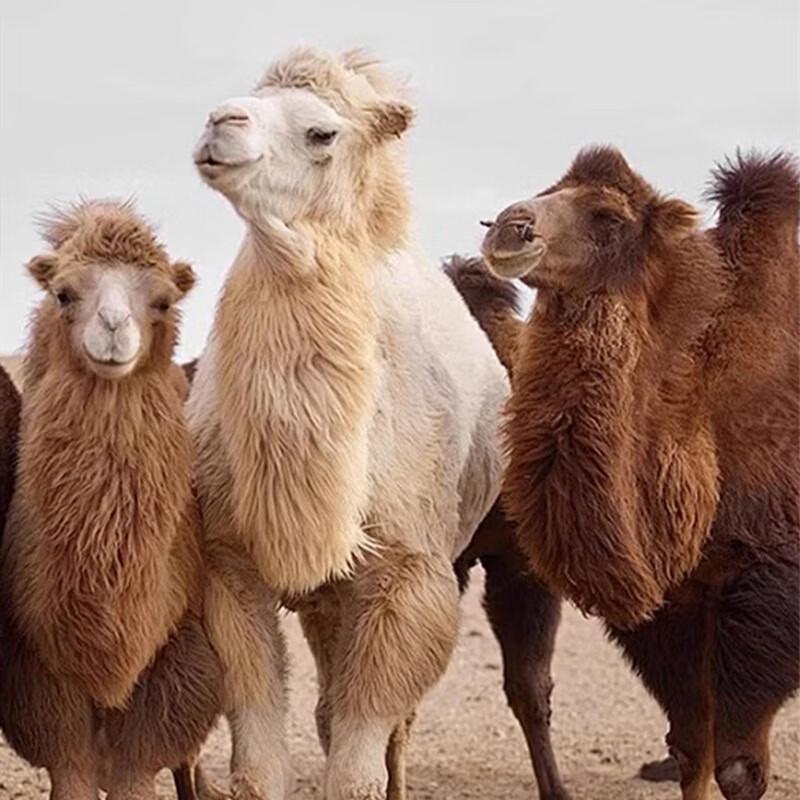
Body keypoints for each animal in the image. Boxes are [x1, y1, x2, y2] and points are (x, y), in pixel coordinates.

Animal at [0, 200, 222, 800]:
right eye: (64, 293)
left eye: (163, 300)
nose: (114, 327)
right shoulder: (37, 668)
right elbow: (71, 769)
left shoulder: (175, 656)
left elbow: (138, 770)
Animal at [187, 47, 568, 800]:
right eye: (249, 97)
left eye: (322, 133)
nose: (221, 122)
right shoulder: (230, 566)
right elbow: (259, 759)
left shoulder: (406, 573)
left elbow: (361, 756)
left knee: (471, 698)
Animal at [479, 146, 799, 800]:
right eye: (547, 190)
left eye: (608, 216)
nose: (510, 227)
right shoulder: (676, 602)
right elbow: (693, 750)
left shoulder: (774, 582)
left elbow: (739, 769)